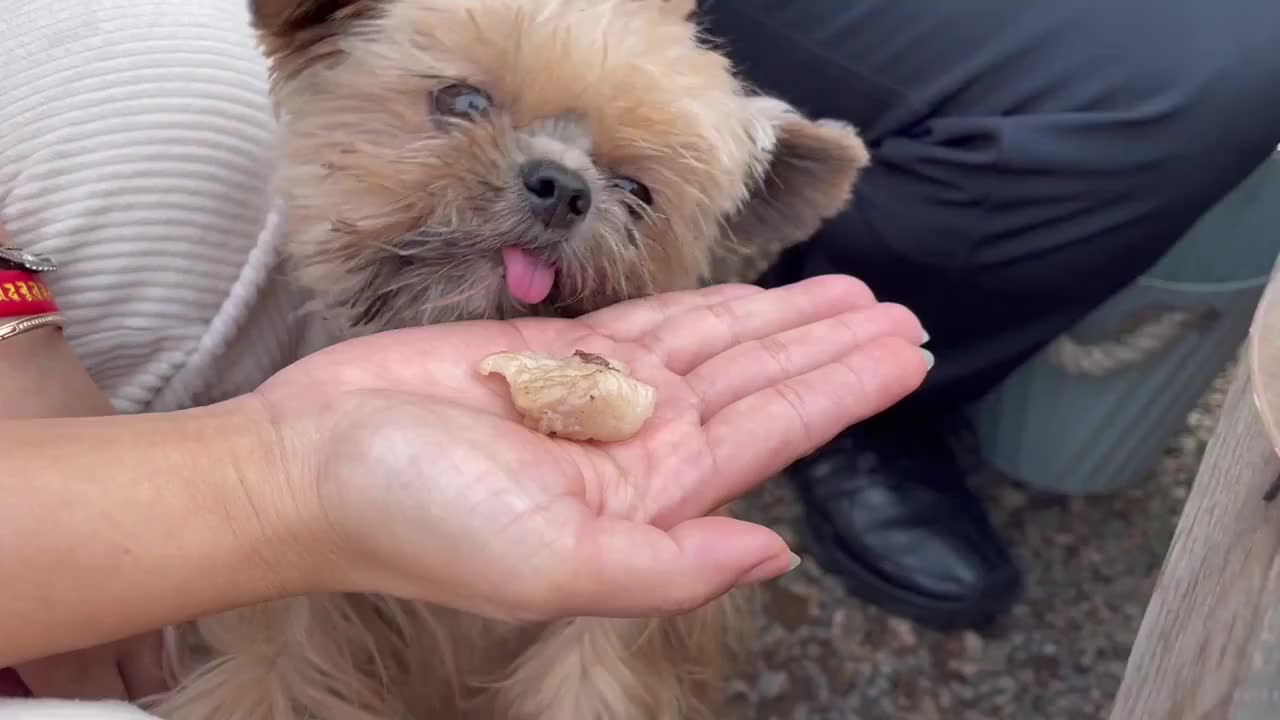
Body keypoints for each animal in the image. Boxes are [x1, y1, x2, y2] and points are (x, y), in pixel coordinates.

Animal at [145, 1, 875, 717]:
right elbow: (267, 669)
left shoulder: (614, 641)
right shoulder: (293, 605)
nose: (563, 187)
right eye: (462, 100)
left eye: (637, 191)